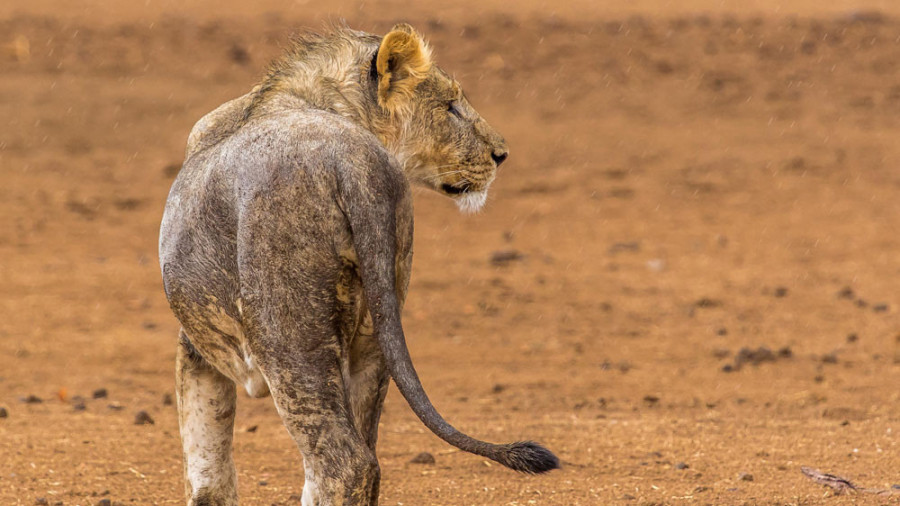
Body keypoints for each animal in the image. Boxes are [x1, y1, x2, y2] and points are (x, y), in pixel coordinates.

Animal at [158, 22, 560, 506]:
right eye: (450, 107)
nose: (502, 154)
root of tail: (351, 161)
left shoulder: (197, 343)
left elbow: (206, 467)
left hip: (288, 340)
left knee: (344, 463)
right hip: (374, 331)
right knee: (359, 460)